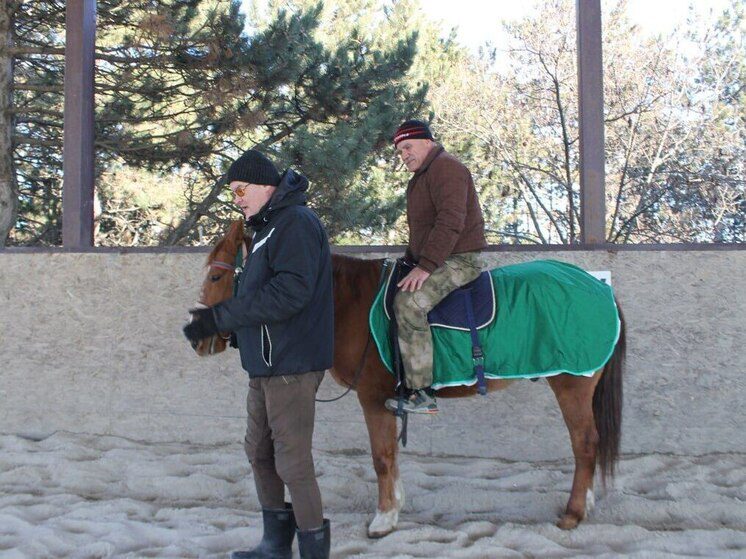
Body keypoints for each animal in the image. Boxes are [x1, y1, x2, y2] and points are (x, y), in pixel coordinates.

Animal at [195, 219, 624, 540]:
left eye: (216, 277)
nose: (198, 337)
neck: (350, 303)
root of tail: (595, 285)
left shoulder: (372, 397)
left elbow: (382, 457)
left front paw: (383, 519)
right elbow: (392, 456)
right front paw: (395, 507)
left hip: (571, 384)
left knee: (585, 443)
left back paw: (573, 513)